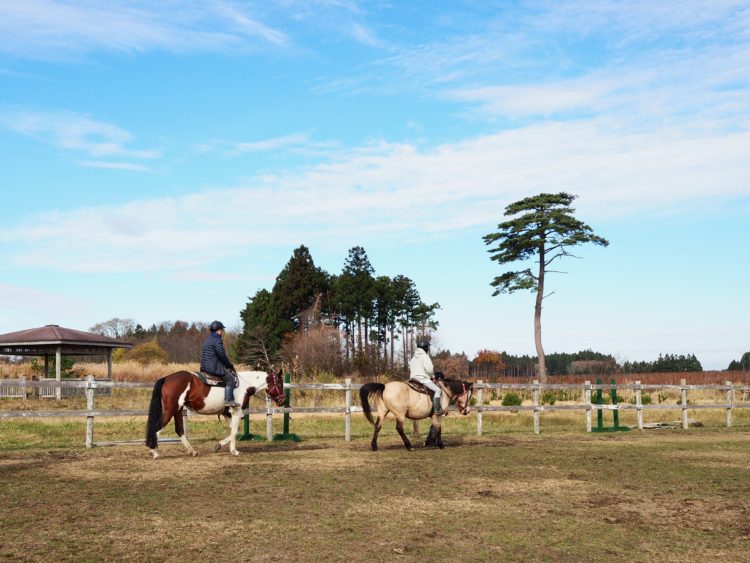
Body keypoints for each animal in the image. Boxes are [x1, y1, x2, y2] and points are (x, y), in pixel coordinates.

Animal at [145, 370, 285, 459]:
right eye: (279, 383)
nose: (282, 400)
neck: (244, 385)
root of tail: (166, 378)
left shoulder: (227, 414)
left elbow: (233, 431)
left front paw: (220, 445)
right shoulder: (236, 412)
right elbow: (234, 431)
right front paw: (233, 450)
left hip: (178, 410)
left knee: (179, 430)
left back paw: (192, 451)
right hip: (171, 410)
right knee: (157, 428)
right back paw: (154, 451)